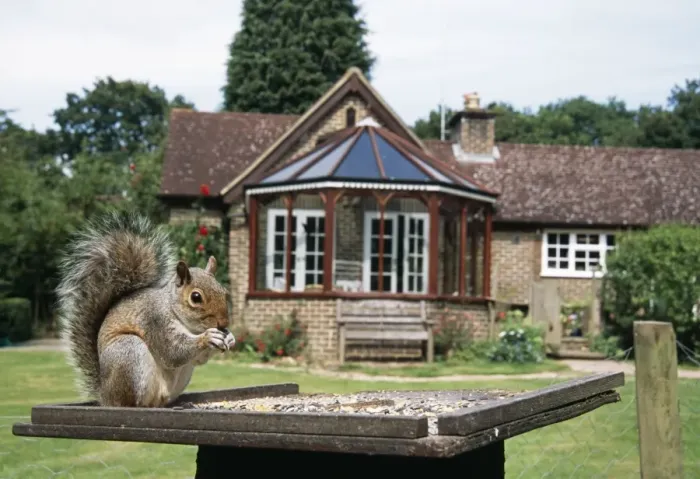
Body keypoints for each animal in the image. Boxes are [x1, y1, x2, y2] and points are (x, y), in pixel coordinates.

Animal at [55, 210, 235, 408]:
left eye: (224, 292)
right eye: (196, 297)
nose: (224, 323)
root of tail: (105, 395)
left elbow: (197, 359)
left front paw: (230, 337)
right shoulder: (155, 320)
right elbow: (172, 352)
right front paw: (209, 337)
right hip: (128, 351)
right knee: (129, 402)